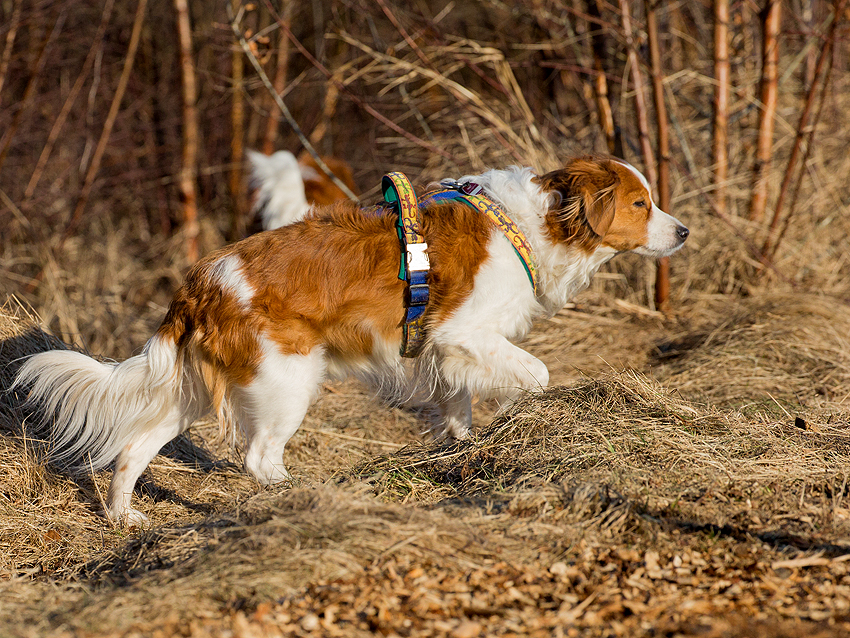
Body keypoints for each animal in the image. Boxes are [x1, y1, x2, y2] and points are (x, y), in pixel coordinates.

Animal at [14, 155, 688, 524]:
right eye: (640, 203)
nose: (682, 231)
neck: (532, 225)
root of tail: (202, 281)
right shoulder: (464, 332)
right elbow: (538, 374)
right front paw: (531, 418)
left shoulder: (444, 351)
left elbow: (458, 409)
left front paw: (467, 453)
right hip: (287, 381)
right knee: (258, 458)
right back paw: (304, 494)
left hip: (196, 391)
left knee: (133, 449)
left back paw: (124, 515)